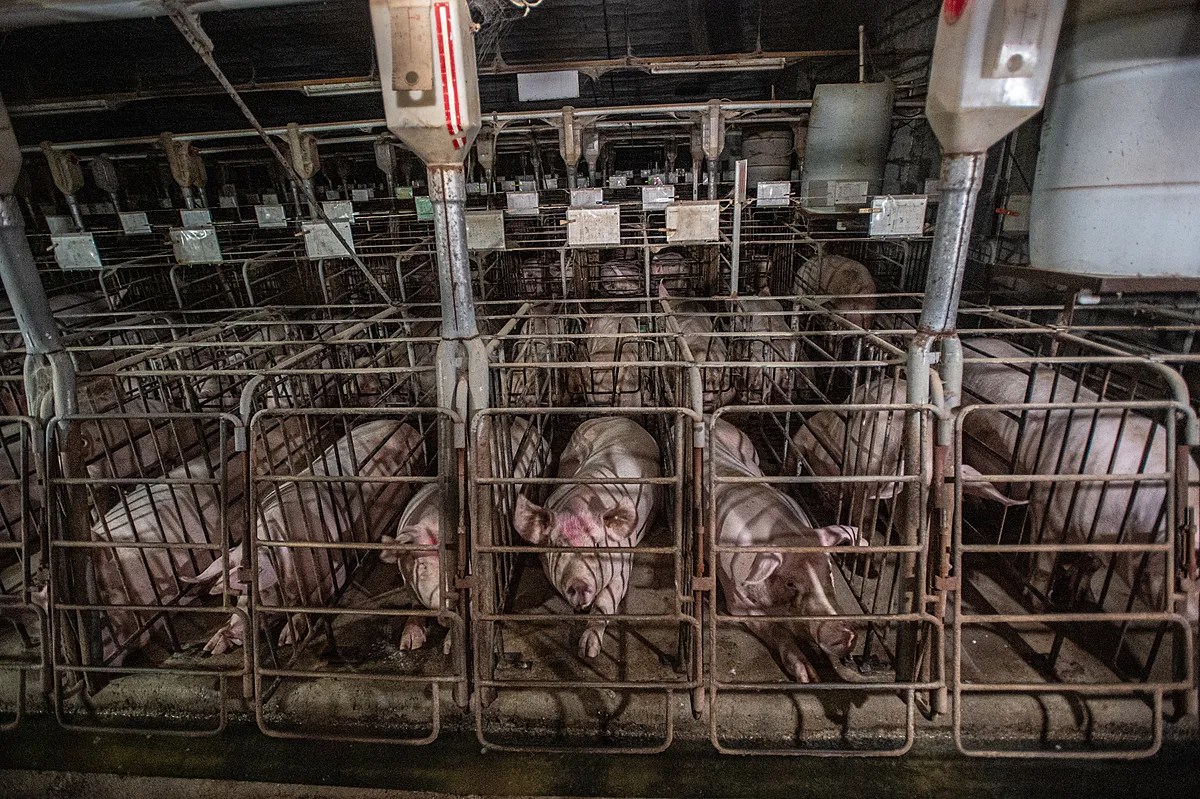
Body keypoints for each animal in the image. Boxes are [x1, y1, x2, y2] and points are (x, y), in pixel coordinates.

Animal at [188, 419, 427, 652]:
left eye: (263, 591)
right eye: (237, 595)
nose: (236, 633)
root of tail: (406, 426)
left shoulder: (336, 568)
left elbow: (314, 599)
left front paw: (286, 638)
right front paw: (213, 646)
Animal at [381, 417, 549, 647]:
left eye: (464, 566)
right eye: (422, 566)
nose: (448, 602)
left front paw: (449, 645)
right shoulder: (407, 578)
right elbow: (415, 604)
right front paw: (408, 643)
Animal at [511, 412, 662, 657]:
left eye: (598, 545)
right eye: (557, 547)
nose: (579, 583)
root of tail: (617, 417)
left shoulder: (623, 563)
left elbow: (605, 603)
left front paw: (588, 651)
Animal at [710, 412, 864, 681]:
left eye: (830, 569)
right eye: (791, 582)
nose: (844, 635)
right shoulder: (735, 599)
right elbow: (777, 631)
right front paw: (808, 676)